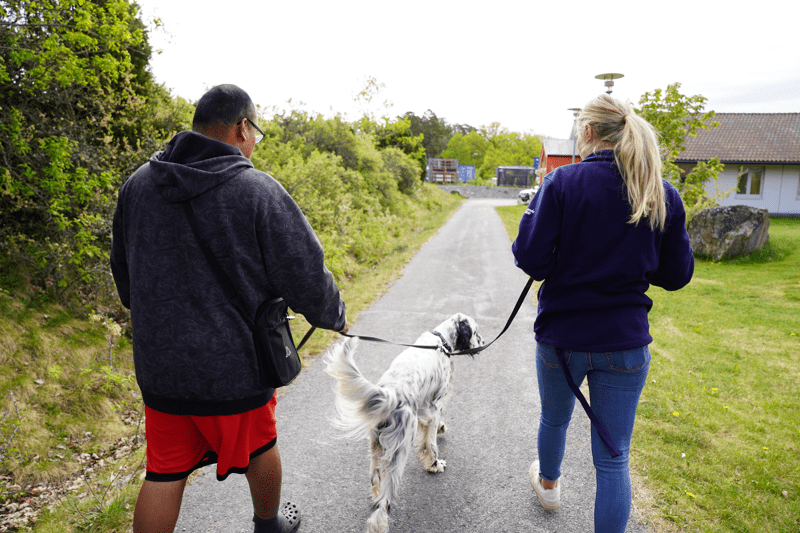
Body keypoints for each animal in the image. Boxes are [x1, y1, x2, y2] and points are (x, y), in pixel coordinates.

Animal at [324, 314, 482, 528]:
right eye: (475, 331)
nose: (482, 343)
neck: (441, 341)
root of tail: (390, 395)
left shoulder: (425, 406)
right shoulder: (434, 406)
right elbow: (431, 444)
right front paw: (435, 464)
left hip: (376, 448)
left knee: (376, 482)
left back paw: (375, 500)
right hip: (399, 451)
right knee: (386, 498)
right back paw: (379, 524)